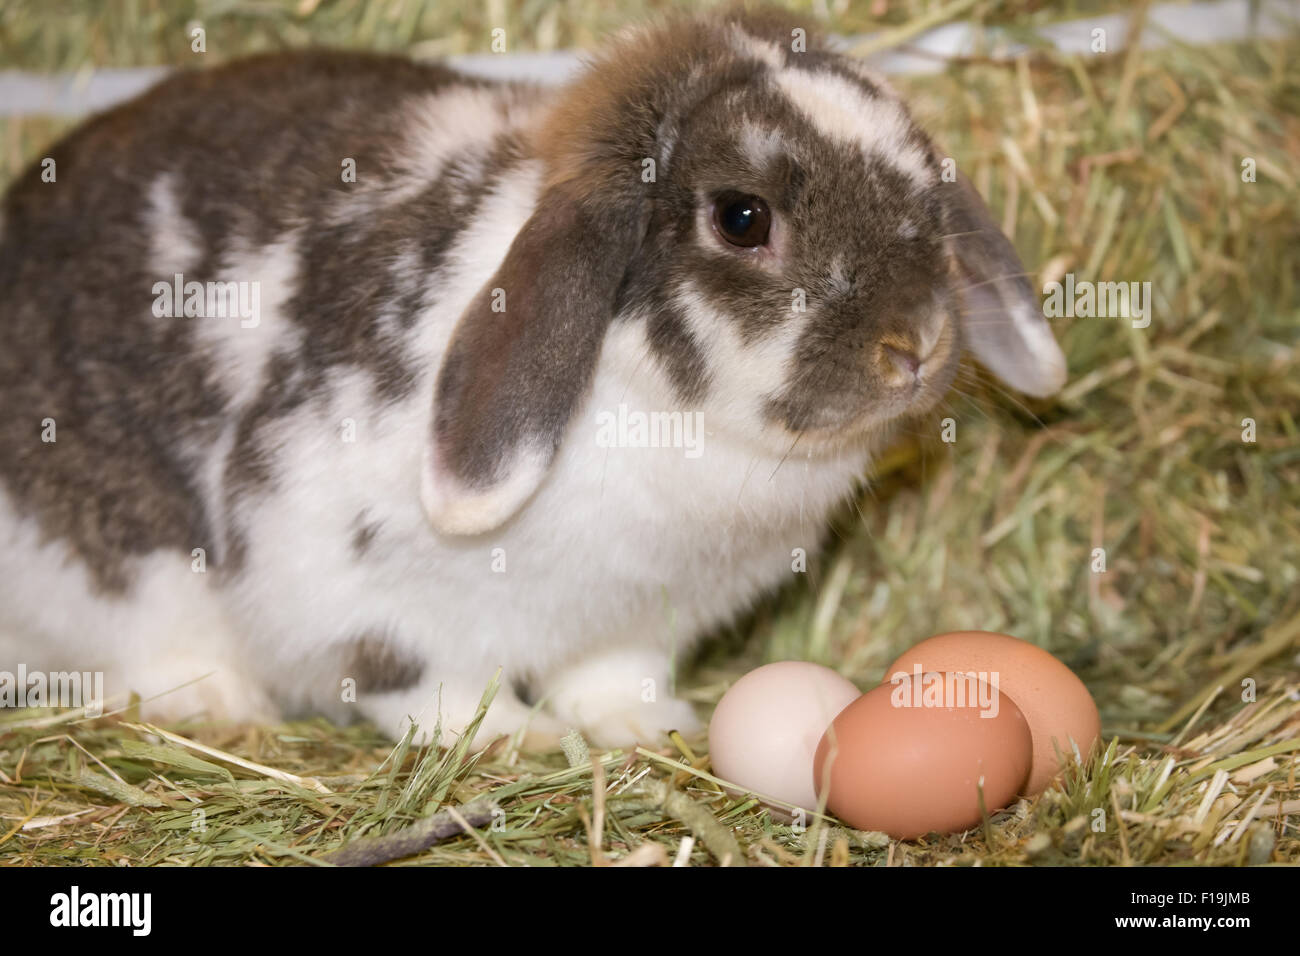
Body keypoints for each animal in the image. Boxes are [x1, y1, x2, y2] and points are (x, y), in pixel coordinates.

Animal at [0, 7, 1065, 749]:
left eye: (929, 179)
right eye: (743, 217)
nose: (918, 344)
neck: (652, 410)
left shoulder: (633, 627)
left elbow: (616, 679)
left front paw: (647, 728)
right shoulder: (349, 582)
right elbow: (420, 681)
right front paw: (517, 740)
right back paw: (217, 702)